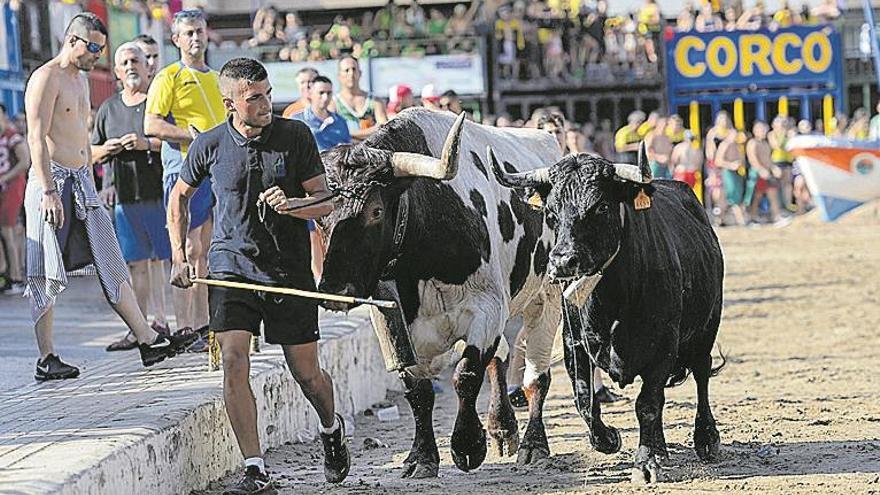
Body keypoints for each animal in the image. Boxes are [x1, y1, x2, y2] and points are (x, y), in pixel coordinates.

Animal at [320, 109, 568, 480]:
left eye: (375, 211)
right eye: (317, 217)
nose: (334, 291)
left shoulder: (488, 309)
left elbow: (465, 374)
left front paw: (467, 445)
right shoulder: (395, 325)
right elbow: (418, 390)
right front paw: (422, 456)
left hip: (546, 299)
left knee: (536, 376)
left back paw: (534, 446)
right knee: (501, 356)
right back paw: (502, 427)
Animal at [492, 151, 724, 484]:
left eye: (601, 206)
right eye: (551, 213)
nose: (562, 261)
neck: (612, 299)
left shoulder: (663, 346)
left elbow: (648, 404)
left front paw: (645, 463)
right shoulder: (574, 343)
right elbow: (585, 401)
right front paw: (610, 439)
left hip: (707, 328)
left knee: (702, 374)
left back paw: (706, 438)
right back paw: (661, 448)